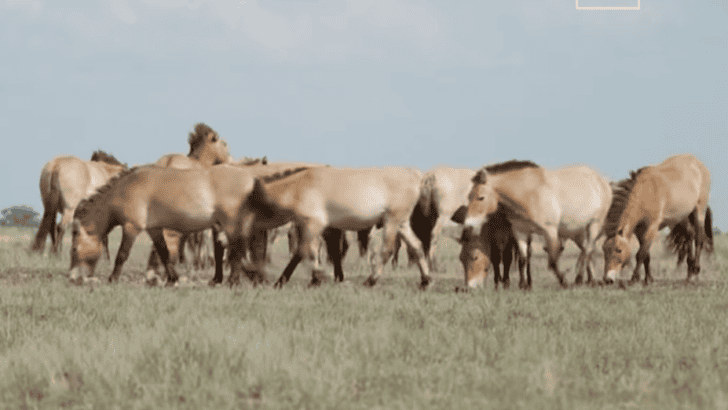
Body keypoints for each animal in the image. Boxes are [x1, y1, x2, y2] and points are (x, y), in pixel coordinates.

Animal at [68, 164, 287, 286]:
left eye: (74, 247)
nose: (71, 277)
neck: (126, 187)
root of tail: (251, 177)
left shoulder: (132, 227)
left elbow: (122, 254)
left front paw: (113, 278)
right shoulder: (154, 230)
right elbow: (164, 253)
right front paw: (173, 278)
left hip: (231, 224)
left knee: (238, 249)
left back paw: (233, 280)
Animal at [239, 166, 432, 289]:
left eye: (248, 204)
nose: (250, 273)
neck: (298, 187)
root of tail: (415, 174)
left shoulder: (313, 224)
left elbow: (304, 252)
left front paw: (317, 276)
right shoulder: (314, 227)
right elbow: (309, 252)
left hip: (392, 221)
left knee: (387, 251)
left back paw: (371, 280)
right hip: (402, 224)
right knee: (417, 247)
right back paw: (425, 280)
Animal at [455, 160, 612, 288]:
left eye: (480, 197)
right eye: (469, 197)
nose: (468, 225)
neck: (528, 192)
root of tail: (602, 181)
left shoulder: (549, 231)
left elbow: (553, 261)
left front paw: (564, 282)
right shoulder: (520, 232)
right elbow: (523, 259)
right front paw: (524, 286)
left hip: (594, 225)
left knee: (588, 250)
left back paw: (579, 279)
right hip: (577, 232)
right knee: (587, 251)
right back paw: (591, 281)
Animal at [602, 154, 713, 285]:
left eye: (618, 250)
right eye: (604, 250)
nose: (607, 279)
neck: (646, 192)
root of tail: (699, 164)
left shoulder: (652, 227)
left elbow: (641, 253)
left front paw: (634, 278)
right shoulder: (639, 231)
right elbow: (646, 255)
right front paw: (648, 278)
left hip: (699, 210)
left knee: (699, 238)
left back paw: (695, 268)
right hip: (683, 216)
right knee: (689, 235)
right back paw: (689, 273)